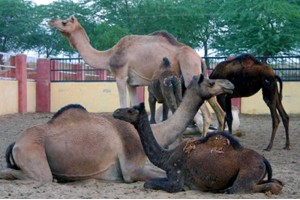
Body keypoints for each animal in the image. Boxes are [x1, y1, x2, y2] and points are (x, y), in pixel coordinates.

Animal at [0, 74, 234, 183]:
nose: (230, 84)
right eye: (211, 82)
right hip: (32, 153)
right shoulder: (131, 169)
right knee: (35, 176)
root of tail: (16, 143)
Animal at [112, 101, 284, 194]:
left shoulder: (176, 178)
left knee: (239, 188)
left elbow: (149, 183)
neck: (166, 158)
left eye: (130, 110)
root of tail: (263, 159)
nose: (116, 111)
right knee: (277, 181)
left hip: (248, 171)